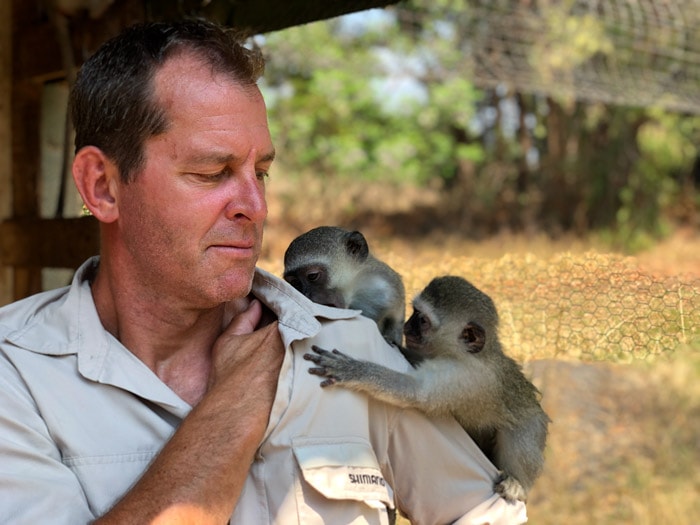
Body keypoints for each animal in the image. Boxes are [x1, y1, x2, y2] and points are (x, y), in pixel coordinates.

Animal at [306, 272, 552, 502]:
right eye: (414, 312)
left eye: (422, 321)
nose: (406, 327)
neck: (464, 354)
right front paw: (397, 346)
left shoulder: (462, 377)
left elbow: (416, 392)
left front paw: (353, 370)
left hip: (532, 423)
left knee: (520, 433)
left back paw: (518, 483)